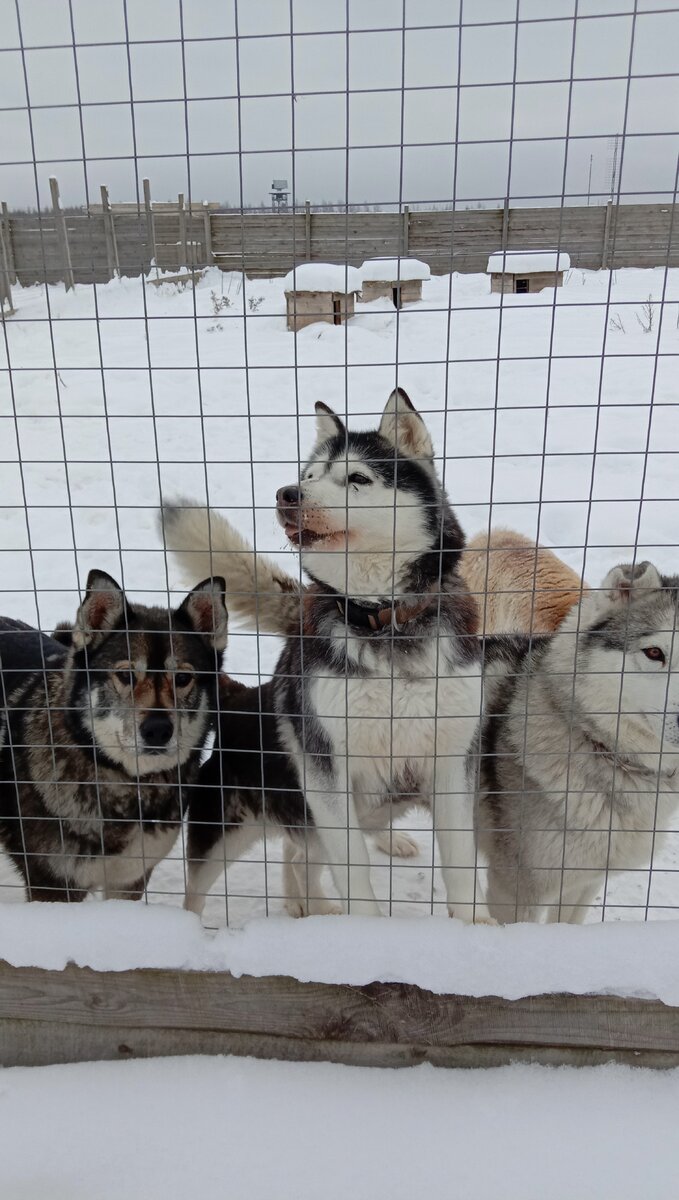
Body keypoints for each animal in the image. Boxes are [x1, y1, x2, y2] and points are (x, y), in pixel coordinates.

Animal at [160, 391, 489, 916]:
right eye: (310, 475)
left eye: (357, 479)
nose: (287, 494)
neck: (382, 619)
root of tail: (241, 696)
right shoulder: (326, 768)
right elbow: (355, 873)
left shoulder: (454, 759)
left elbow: (460, 866)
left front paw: (478, 926)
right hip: (229, 831)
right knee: (203, 887)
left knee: (299, 853)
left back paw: (310, 903)